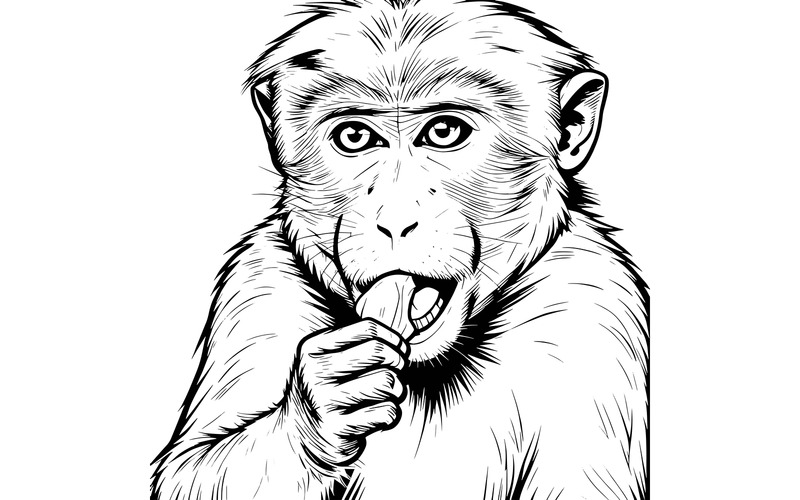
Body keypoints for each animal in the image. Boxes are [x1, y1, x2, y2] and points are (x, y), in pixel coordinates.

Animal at [151, 1, 649, 499]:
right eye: (354, 137)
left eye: (444, 132)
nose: (393, 219)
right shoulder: (259, 284)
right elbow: (193, 470)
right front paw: (320, 408)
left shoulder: (590, 304)